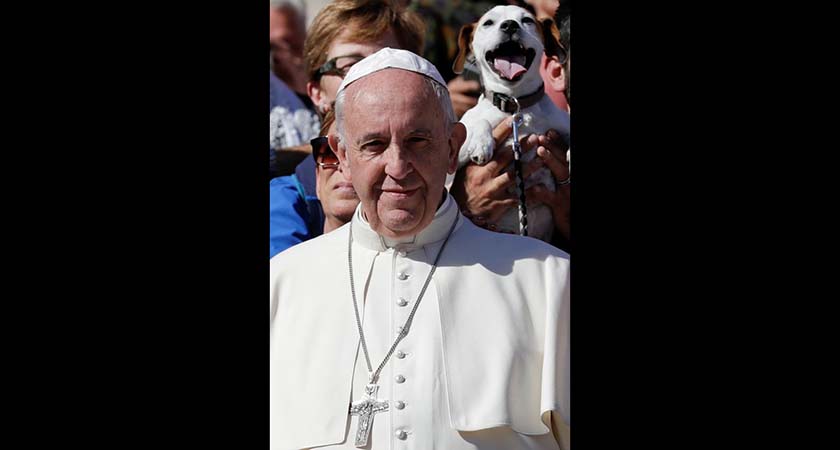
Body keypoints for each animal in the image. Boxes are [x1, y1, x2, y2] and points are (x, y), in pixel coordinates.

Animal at [452, 5, 572, 243]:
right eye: (488, 23)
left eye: (527, 20)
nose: (509, 25)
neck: (516, 105)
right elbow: (479, 121)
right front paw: (482, 143)